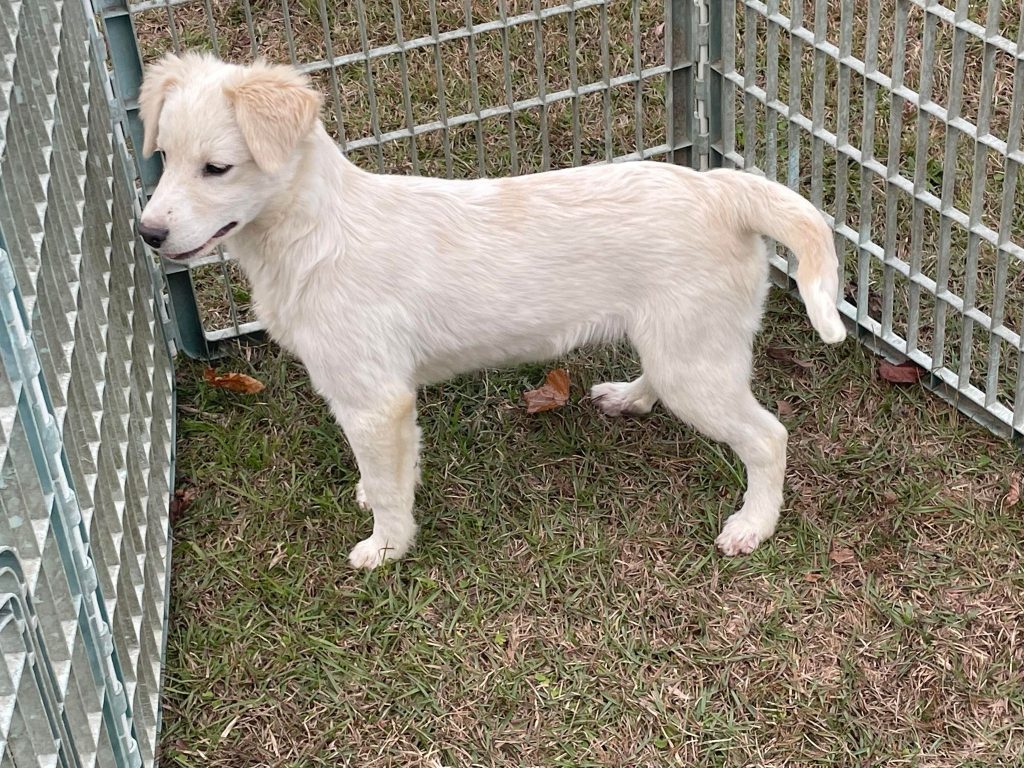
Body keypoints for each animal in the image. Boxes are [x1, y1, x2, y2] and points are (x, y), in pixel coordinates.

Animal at [142, 54, 847, 573]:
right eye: (165, 158)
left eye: (217, 168)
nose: (148, 234)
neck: (312, 231)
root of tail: (724, 189)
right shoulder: (367, 401)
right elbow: (383, 471)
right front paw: (374, 498)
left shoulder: (375, 399)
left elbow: (391, 487)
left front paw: (386, 548)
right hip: (679, 344)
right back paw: (629, 398)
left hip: (695, 360)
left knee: (768, 437)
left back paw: (753, 524)